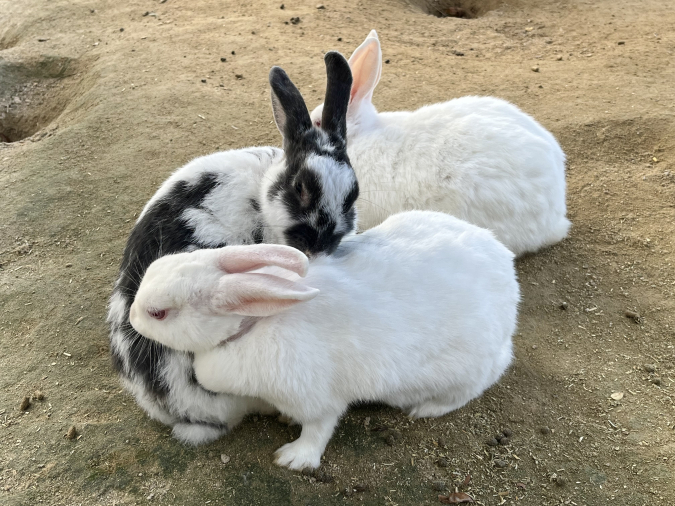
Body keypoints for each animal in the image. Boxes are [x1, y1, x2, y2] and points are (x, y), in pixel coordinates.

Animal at [129, 211, 520, 470]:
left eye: (157, 313)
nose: (131, 316)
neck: (253, 323)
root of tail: (507, 274)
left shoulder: (316, 399)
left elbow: (318, 429)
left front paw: (293, 458)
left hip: (465, 372)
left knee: (474, 386)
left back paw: (426, 408)